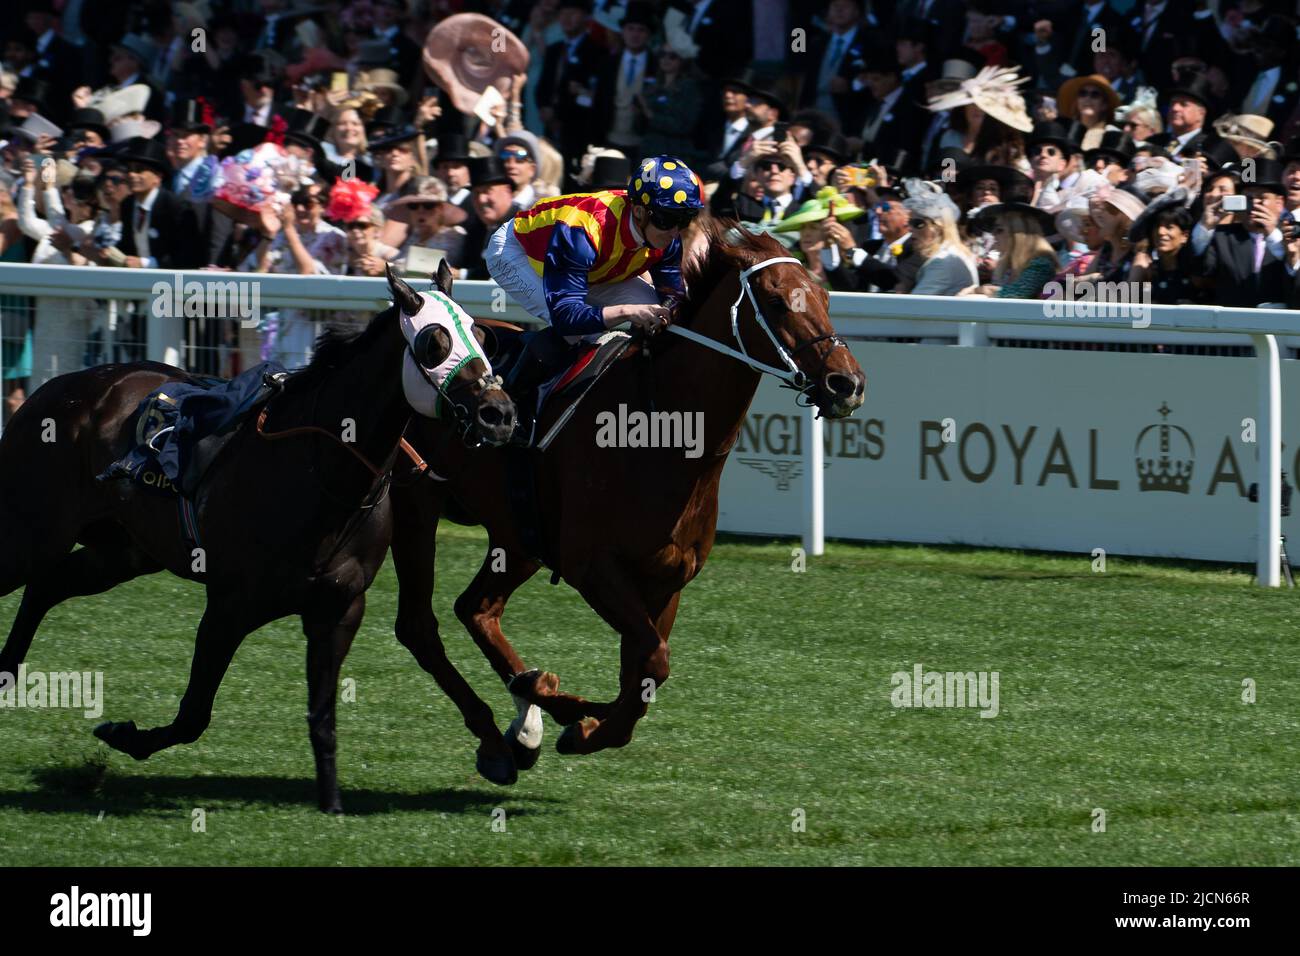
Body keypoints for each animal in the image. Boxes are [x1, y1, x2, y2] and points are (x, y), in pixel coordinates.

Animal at [0, 264, 516, 812]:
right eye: (434, 342)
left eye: (482, 336)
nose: (500, 413)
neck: (322, 472)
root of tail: (54, 389)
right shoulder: (229, 604)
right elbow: (194, 713)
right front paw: (124, 734)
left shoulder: (338, 607)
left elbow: (322, 717)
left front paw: (332, 804)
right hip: (29, 533)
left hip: (123, 552)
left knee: (48, 584)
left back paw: (6, 670)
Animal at [388, 216, 866, 773]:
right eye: (773, 299)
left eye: (824, 295)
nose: (847, 383)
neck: (662, 431)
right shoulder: (592, 566)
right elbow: (654, 662)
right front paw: (577, 722)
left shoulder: (666, 579)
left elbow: (641, 675)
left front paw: (580, 723)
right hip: (415, 504)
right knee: (419, 624)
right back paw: (509, 731)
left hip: (518, 533)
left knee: (477, 609)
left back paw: (527, 721)